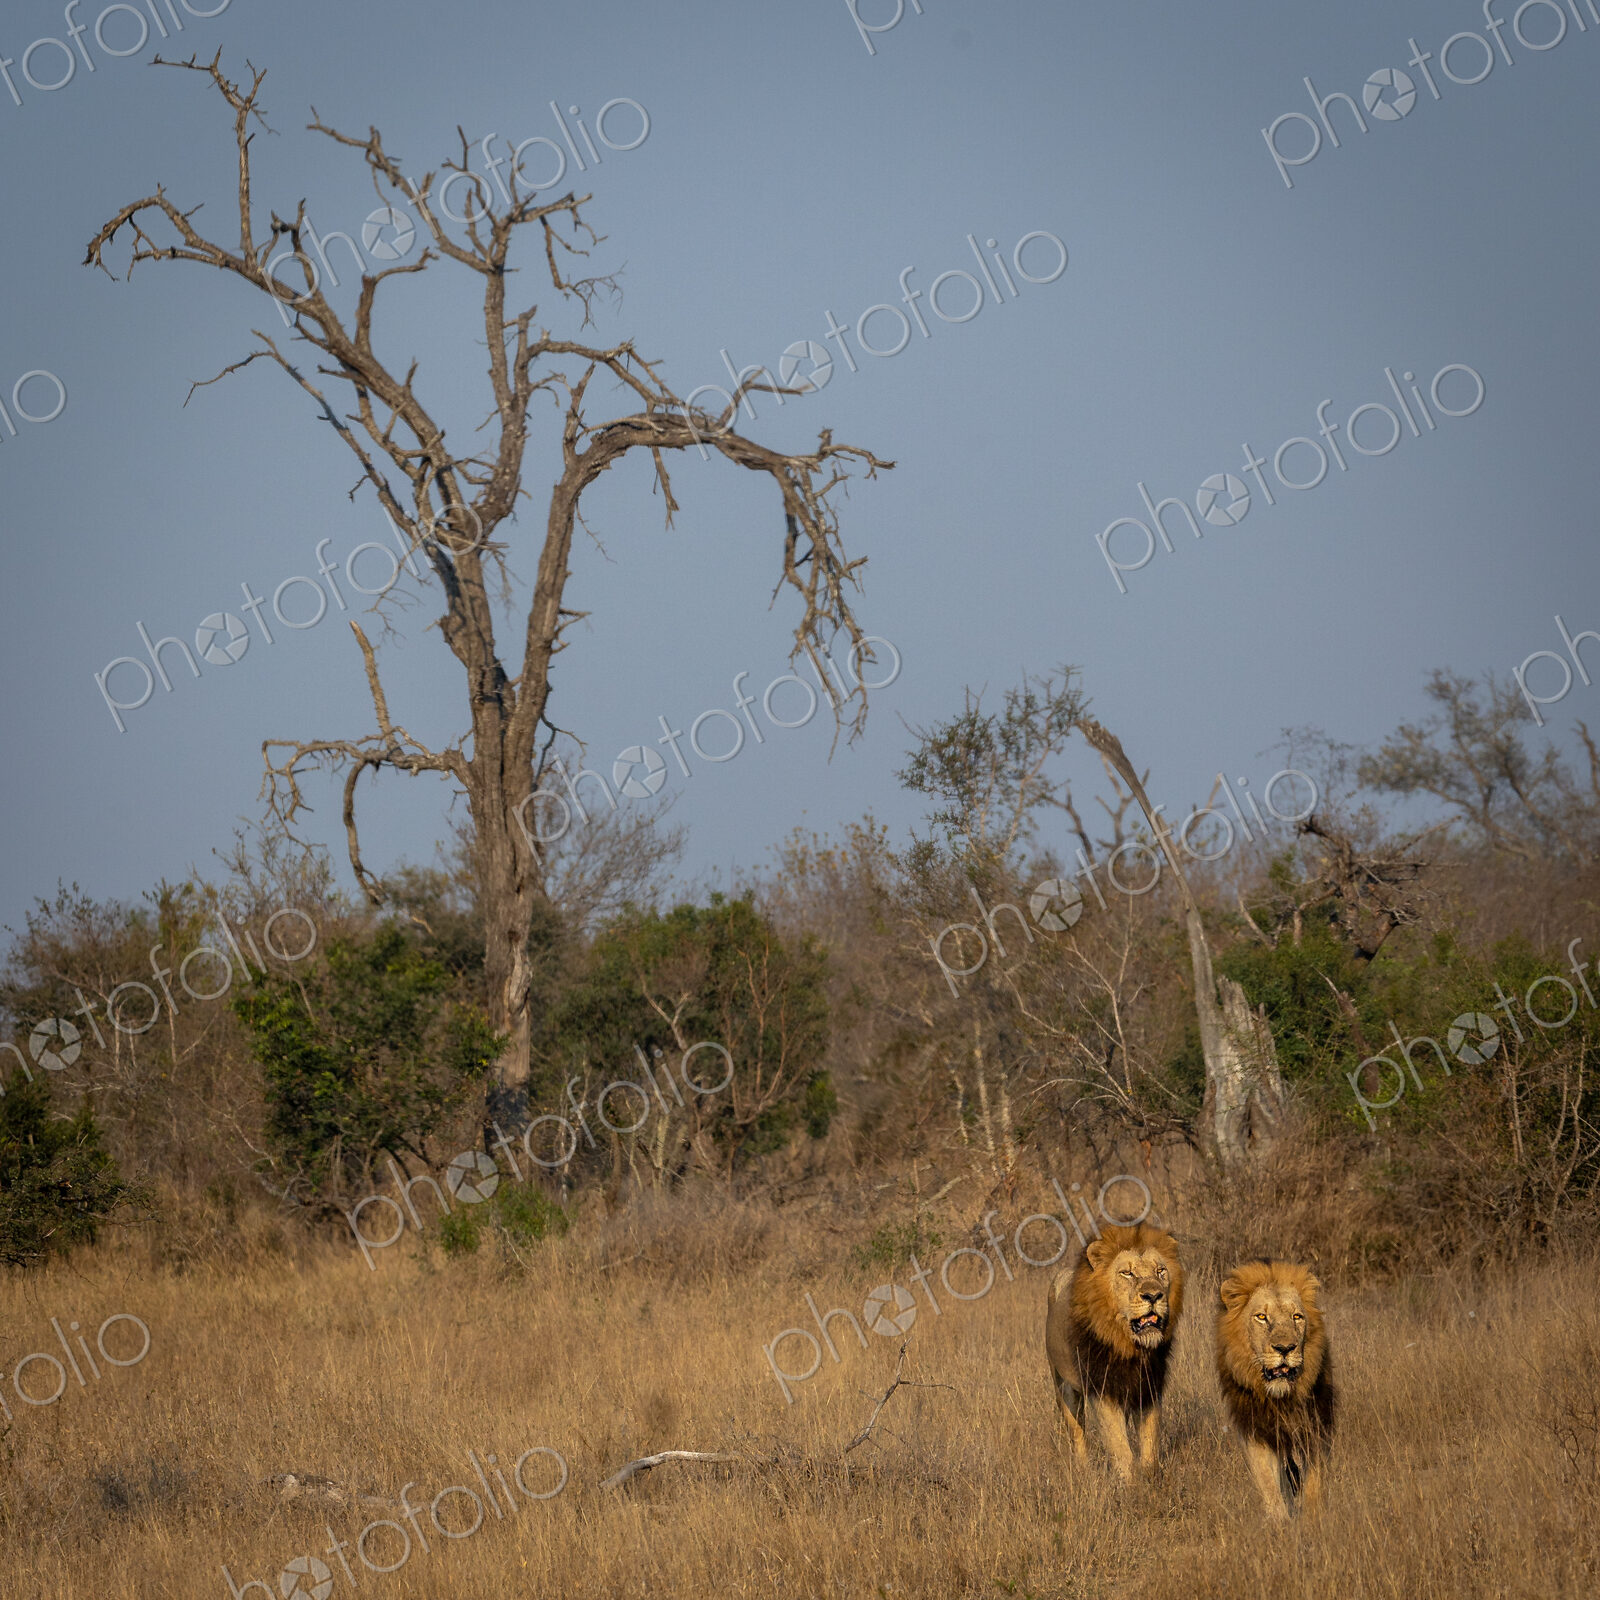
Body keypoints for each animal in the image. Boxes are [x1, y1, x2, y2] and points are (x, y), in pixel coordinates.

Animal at [1043, 1222, 1185, 1482]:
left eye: (1160, 1270)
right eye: (1127, 1273)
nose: (1154, 1295)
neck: (1131, 1348)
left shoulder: (1149, 1387)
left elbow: (1150, 1443)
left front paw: (1149, 1481)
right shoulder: (1102, 1390)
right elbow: (1119, 1445)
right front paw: (1127, 1484)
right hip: (1062, 1385)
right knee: (1077, 1433)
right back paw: (1084, 1471)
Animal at [1215, 1259, 1336, 1521]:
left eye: (1297, 1317)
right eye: (1262, 1317)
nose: (1285, 1348)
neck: (1280, 1399)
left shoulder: (1315, 1426)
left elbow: (1314, 1479)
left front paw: (1313, 1519)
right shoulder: (1255, 1429)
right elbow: (1268, 1481)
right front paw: (1280, 1521)